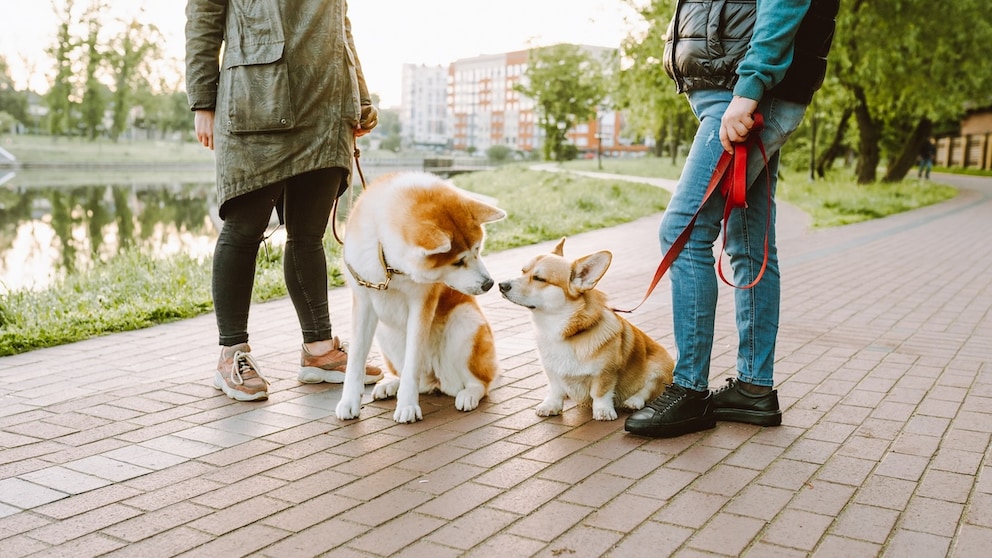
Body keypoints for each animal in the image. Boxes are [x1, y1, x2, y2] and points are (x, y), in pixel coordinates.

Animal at [336, 171, 508, 424]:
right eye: (458, 261)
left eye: (478, 249)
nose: (489, 284)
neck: (389, 266)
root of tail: (436, 380)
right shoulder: (364, 302)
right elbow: (355, 360)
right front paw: (348, 402)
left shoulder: (421, 304)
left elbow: (412, 365)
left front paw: (407, 405)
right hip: (385, 334)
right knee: (415, 378)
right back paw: (391, 385)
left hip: (465, 322)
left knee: (480, 383)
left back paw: (468, 394)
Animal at [496, 238, 676, 422]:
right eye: (523, 271)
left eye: (539, 278)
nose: (501, 285)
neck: (560, 329)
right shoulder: (551, 371)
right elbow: (555, 390)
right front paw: (551, 405)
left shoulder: (606, 372)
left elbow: (600, 393)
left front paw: (603, 411)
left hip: (660, 370)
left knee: (648, 390)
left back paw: (633, 401)